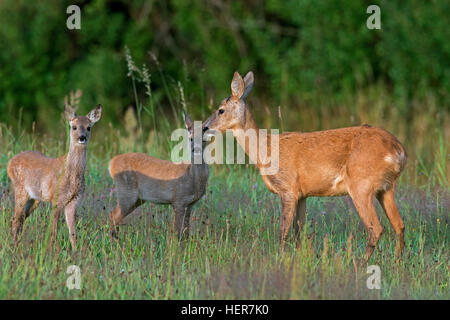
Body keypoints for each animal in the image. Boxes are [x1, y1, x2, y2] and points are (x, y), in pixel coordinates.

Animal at [8, 102, 102, 250]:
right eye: (74, 127)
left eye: (88, 127)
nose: (82, 137)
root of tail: (10, 162)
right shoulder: (56, 200)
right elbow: (53, 232)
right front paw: (52, 252)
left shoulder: (73, 201)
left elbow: (73, 233)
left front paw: (76, 252)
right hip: (20, 190)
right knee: (15, 219)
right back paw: (14, 247)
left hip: (35, 198)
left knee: (21, 218)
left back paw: (17, 245)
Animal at [108, 111, 208, 239]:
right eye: (191, 138)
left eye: (204, 139)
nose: (195, 149)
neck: (193, 178)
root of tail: (112, 163)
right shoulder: (179, 200)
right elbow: (177, 232)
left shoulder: (189, 204)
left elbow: (185, 232)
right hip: (127, 193)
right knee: (113, 215)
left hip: (138, 199)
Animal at [202, 71, 406, 258]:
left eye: (220, 110)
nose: (204, 127)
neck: (265, 150)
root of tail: (400, 151)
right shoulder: (302, 195)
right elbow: (298, 231)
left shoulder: (288, 188)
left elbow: (283, 231)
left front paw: (280, 259)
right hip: (386, 188)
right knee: (399, 225)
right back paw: (397, 262)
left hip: (361, 185)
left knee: (376, 228)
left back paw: (360, 264)